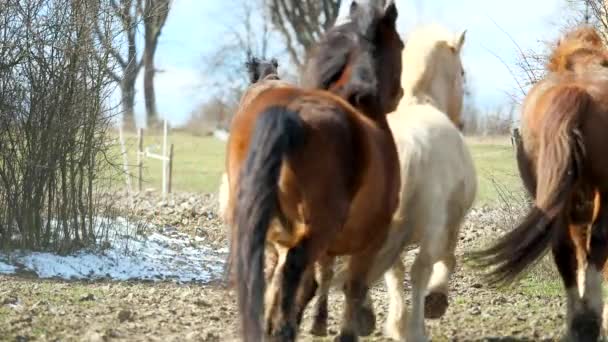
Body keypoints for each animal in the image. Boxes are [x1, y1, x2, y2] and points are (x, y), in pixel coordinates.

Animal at [223, 1, 404, 340]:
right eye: (400, 44)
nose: (398, 94)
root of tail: (289, 114)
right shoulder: (372, 239)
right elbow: (351, 287)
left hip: (258, 224)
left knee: (266, 273)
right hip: (318, 230)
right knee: (294, 269)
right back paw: (284, 330)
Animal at [316, 24, 478, 342]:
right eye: (463, 72)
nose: (462, 121)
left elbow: (393, 272)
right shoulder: (451, 222)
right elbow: (444, 260)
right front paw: (433, 303)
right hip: (430, 227)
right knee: (420, 269)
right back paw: (415, 328)